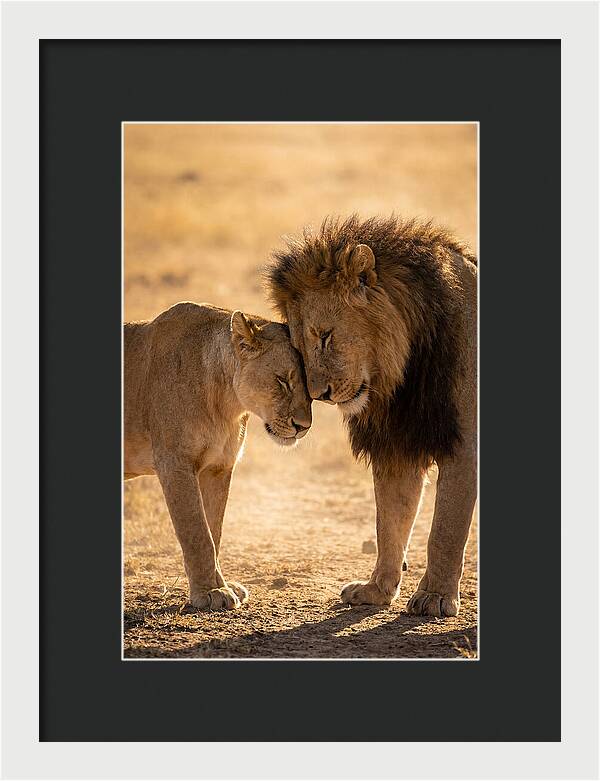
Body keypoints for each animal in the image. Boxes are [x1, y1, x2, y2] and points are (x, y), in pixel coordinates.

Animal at [124, 302, 312, 610]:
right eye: (282, 381)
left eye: (312, 388)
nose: (304, 426)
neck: (226, 403)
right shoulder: (174, 463)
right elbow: (197, 532)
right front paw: (210, 592)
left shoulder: (218, 467)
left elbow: (214, 530)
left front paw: (222, 585)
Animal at [266, 215, 477, 617]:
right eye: (299, 347)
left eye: (325, 335)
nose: (320, 395)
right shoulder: (397, 446)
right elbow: (389, 522)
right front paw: (377, 590)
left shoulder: (465, 445)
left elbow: (445, 529)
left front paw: (435, 596)